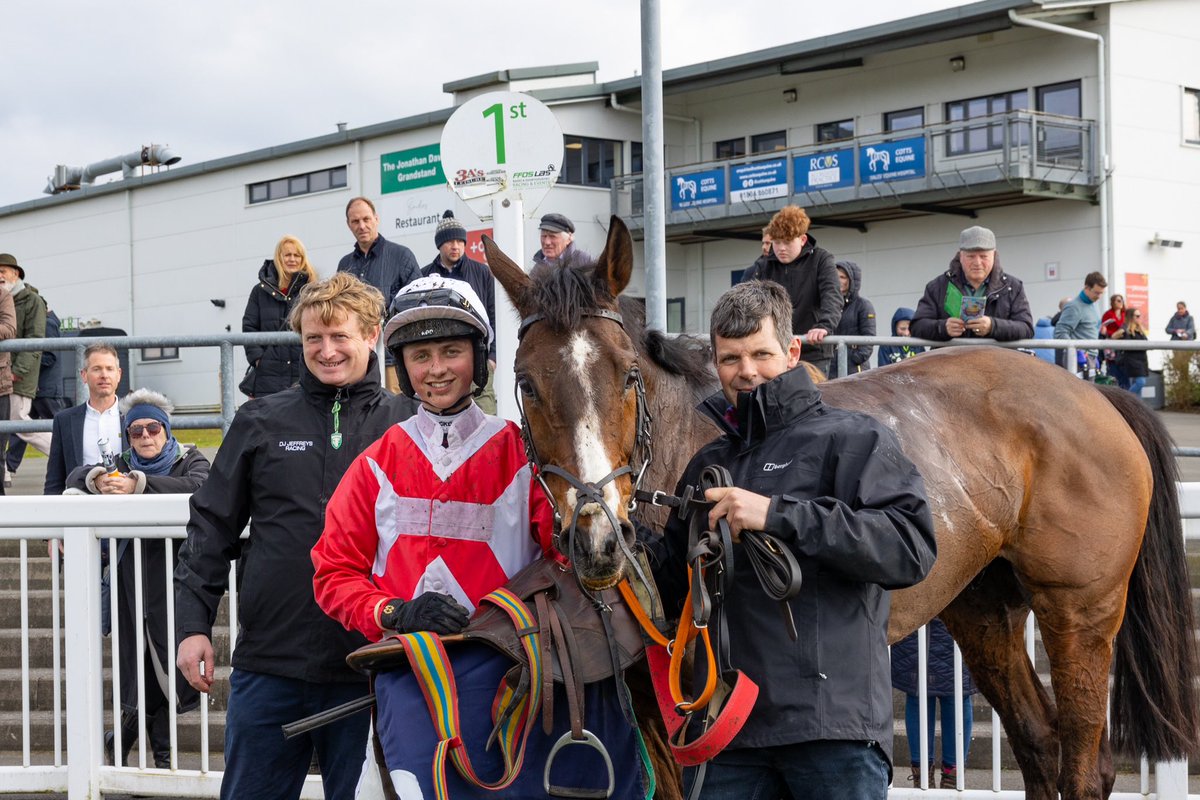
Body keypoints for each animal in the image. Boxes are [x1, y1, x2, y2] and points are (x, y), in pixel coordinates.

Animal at [482, 215, 1195, 796]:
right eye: (526, 383)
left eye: (627, 374)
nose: (598, 538)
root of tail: (1096, 395)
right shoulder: (664, 711)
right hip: (984, 607)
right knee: (1041, 748)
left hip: (1080, 610)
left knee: (1083, 765)